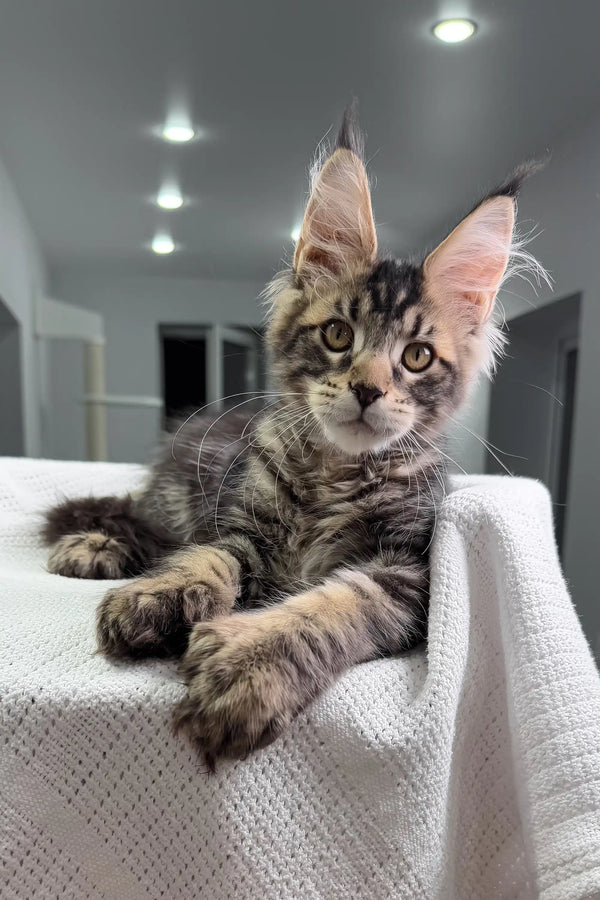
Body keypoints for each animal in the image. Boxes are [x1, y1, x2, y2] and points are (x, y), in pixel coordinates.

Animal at [43, 109, 544, 764]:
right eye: (337, 335)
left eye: (416, 356)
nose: (368, 390)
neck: (334, 474)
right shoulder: (238, 525)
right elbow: (204, 556)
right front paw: (163, 594)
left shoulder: (407, 574)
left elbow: (333, 605)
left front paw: (247, 666)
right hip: (183, 495)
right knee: (146, 523)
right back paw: (94, 547)